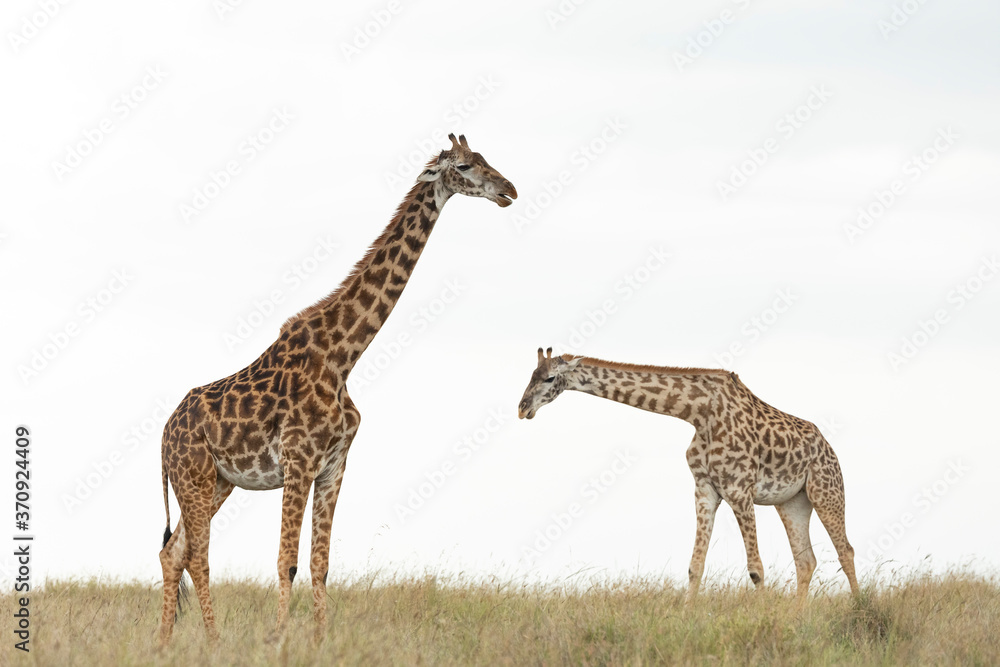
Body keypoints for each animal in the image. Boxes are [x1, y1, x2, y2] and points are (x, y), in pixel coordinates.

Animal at [157, 134, 516, 647]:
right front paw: (278, 640)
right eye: (465, 166)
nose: (509, 190)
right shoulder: (298, 463)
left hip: (218, 481)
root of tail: (164, 436)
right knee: (198, 556)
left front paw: (319, 640)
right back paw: (212, 641)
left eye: (488, 160)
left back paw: (165, 641)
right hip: (194, 477)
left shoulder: (333, 466)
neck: (343, 356)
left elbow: (320, 564)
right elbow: (286, 562)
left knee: (175, 552)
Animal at [517, 348, 859, 602]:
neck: (699, 412)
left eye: (549, 378)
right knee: (806, 561)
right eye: (531, 375)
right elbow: (695, 565)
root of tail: (829, 448)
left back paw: (859, 610)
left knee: (845, 550)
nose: (522, 409)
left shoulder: (739, 490)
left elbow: (755, 568)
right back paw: (798, 617)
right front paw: (684, 615)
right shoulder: (705, 489)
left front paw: (767, 619)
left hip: (826, 490)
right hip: (791, 502)